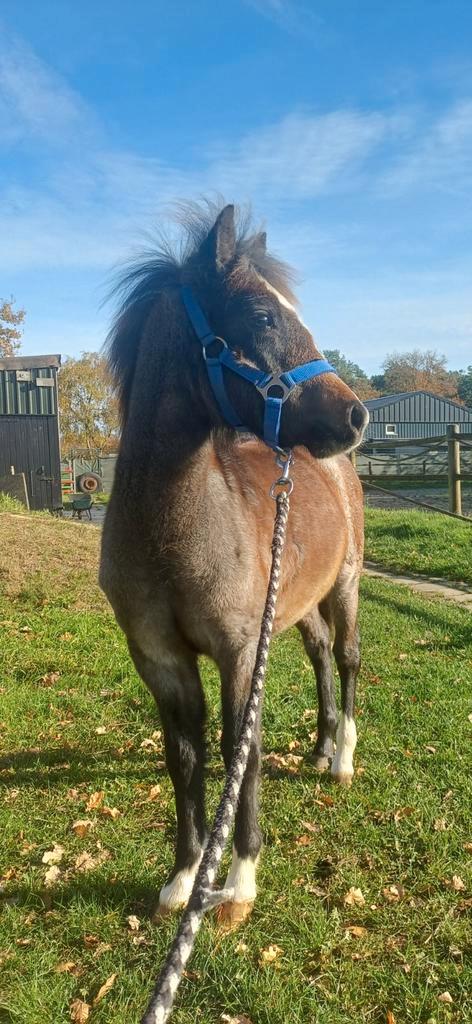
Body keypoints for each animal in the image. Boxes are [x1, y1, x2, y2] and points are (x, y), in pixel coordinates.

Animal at [100, 202, 369, 928]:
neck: (173, 537)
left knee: (348, 658)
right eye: (264, 316)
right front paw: (182, 879)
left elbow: (237, 754)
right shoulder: (159, 658)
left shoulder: (240, 650)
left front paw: (239, 882)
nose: (356, 414)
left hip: (346, 586)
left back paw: (341, 757)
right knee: (320, 654)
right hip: (296, 607)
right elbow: (185, 757)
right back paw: (320, 745)